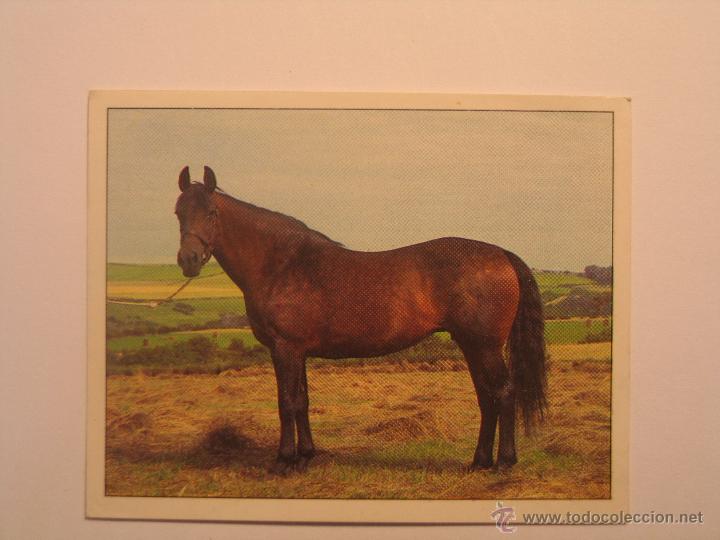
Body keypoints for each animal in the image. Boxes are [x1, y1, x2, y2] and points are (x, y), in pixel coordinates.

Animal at [174, 166, 547, 475]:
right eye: (178, 212)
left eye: (212, 213)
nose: (188, 260)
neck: (282, 265)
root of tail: (501, 254)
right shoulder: (299, 352)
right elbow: (302, 401)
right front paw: (306, 456)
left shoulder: (285, 349)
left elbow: (287, 402)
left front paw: (284, 461)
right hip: (471, 346)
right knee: (486, 397)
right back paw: (479, 461)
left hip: (485, 346)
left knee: (504, 392)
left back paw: (504, 463)